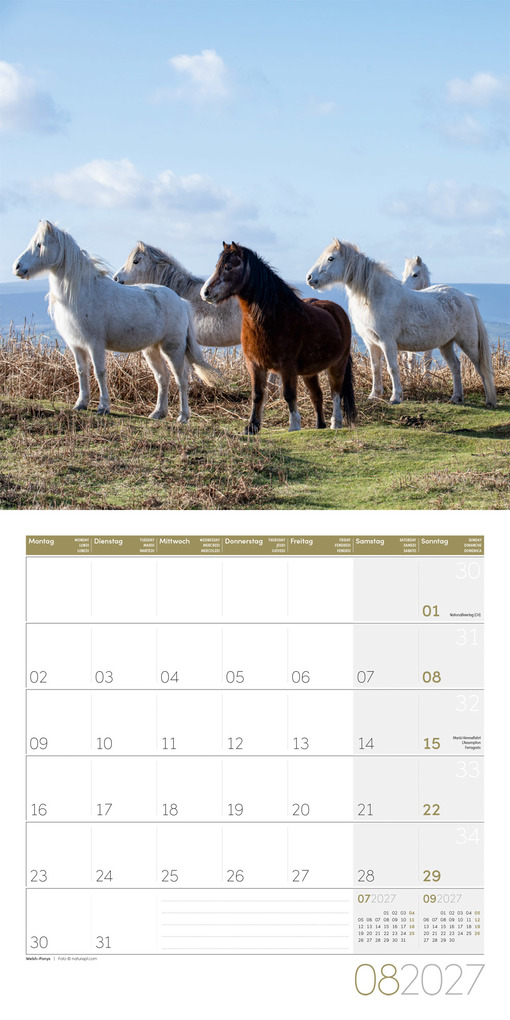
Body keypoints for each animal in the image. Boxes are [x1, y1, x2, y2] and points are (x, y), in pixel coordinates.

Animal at [13, 221, 219, 422]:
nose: (17, 267)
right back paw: (158, 413)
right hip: (152, 350)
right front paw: (81, 404)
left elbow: (99, 372)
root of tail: (181, 302)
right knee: (162, 377)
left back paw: (183, 416)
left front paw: (103, 407)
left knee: (181, 379)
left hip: (173, 348)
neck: (84, 291)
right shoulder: (76, 346)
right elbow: (81, 372)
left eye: (40, 244)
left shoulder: (95, 344)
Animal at [201, 242, 356, 434]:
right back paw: (320, 425)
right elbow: (257, 394)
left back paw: (336, 423)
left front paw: (294, 425)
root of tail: (338, 311)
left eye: (228, 267)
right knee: (317, 396)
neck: (272, 317)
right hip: (310, 372)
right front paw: (252, 426)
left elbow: (289, 394)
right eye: (217, 266)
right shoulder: (254, 365)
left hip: (337, 365)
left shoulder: (287, 366)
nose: (205, 292)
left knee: (336, 393)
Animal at [307, 239, 496, 408]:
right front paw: (374, 396)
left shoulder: (387, 342)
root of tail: (466, 297)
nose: (309, 278)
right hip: (446, 344)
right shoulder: (371, 343)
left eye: (331, 258)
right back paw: (456, 397)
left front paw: (396, 397)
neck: (376, 296)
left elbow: (392, 368)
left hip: (468, 343)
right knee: (455, 366)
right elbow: (376, 368)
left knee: (481, 367)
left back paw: (489, 400)